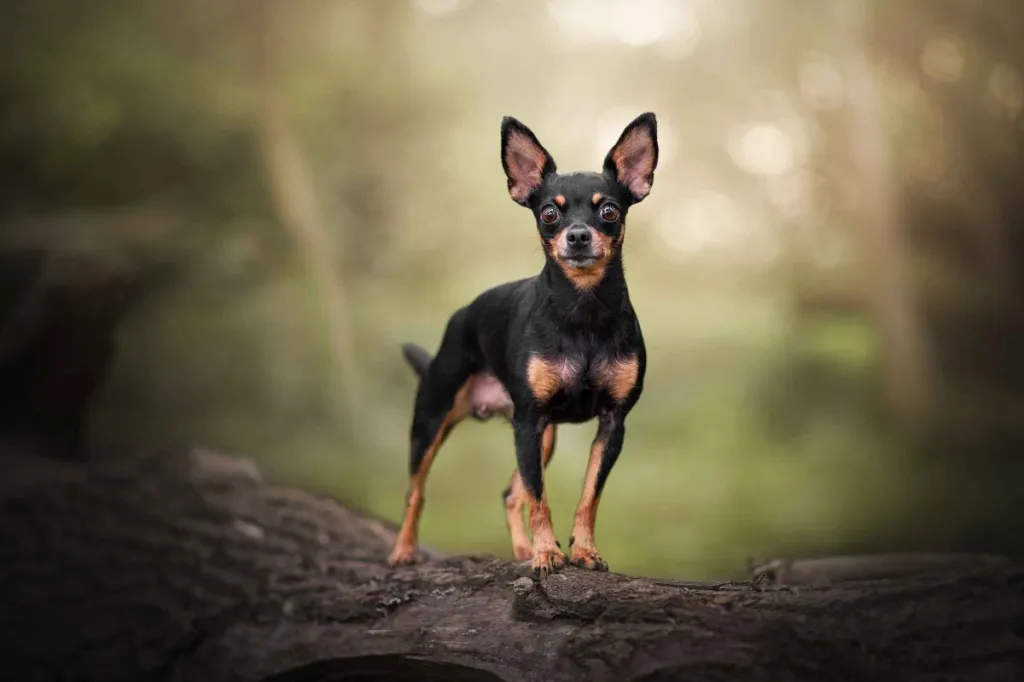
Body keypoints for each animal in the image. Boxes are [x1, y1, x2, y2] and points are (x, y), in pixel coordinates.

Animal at [387, 111, 659, 573]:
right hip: (433, 422)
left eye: (609, 210)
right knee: (416, 491)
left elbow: (587, 497)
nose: (578, 236)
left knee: (510, 492)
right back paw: (404, 550)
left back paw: (521, 550)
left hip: (542, 435)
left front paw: (583, 550)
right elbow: (540, 500)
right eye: (549, 213)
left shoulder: (610, 424)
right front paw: (548, 553)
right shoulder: (530, 421)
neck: (582, 311)